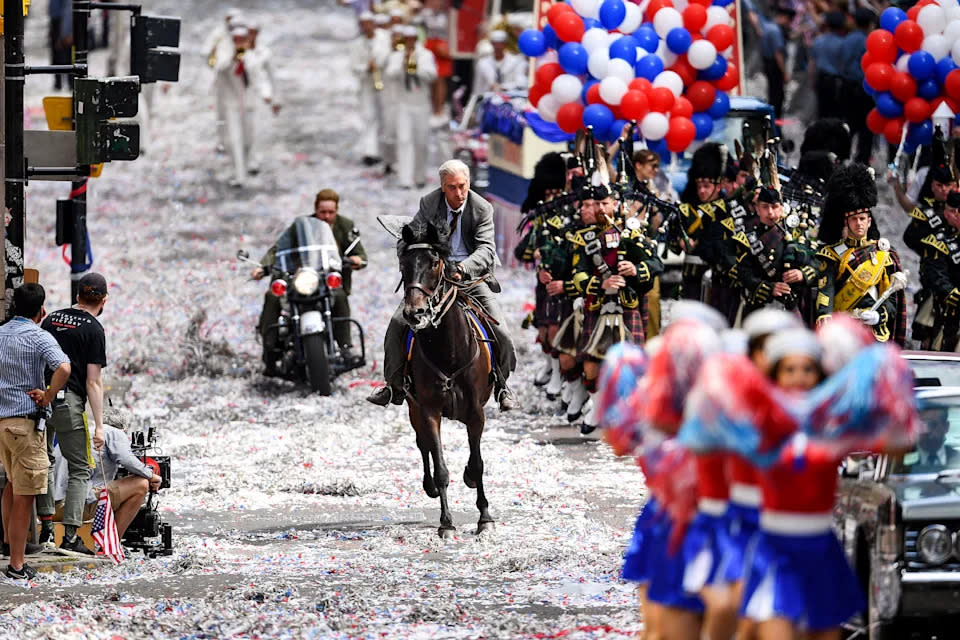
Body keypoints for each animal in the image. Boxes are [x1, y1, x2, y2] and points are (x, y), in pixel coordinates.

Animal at [400, 222, 496, 536]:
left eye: (434, 263)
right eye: (403, 264)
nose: (414, 312)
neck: (449, 349)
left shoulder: (476, 412)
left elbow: (477, 463)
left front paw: (484, 518)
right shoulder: (429, 409)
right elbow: (440, 466)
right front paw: (446, 523)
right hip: (413, 407)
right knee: (424, 444)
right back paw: (429, 486)